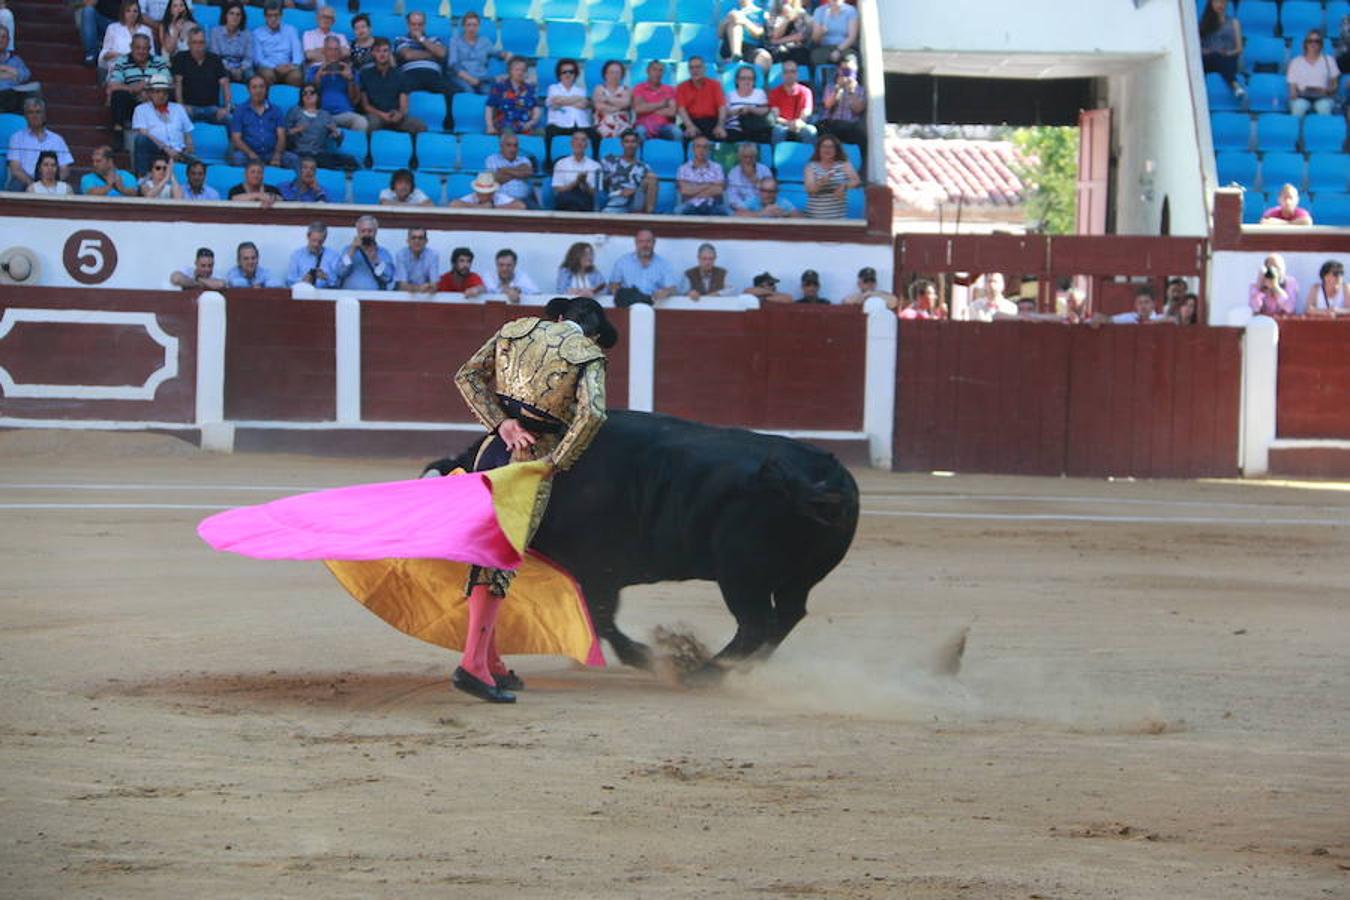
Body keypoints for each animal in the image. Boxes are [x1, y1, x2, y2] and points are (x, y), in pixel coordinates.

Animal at [426, 412, 858, 671]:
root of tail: (820, 478)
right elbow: (599, 616)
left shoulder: (597, 570)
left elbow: (601, 616)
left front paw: (643, 656)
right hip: (796, 578)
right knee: (786, 616)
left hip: (741, 575)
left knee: (755, 623)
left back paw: (703, 672)